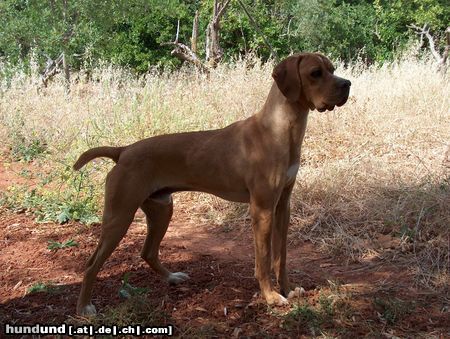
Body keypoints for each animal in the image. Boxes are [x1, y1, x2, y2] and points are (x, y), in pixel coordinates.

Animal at [74, 52, 352, 316]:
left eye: (333, 69)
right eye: (315, 73)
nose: (347, 84)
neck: (280, 130)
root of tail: (123, 151)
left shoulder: (283, 206)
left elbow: (280, 257)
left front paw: (287, 288)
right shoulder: (262, 210)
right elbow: (263, 260)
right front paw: (271, 297)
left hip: (162, 209)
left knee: (148, 252)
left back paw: (171, 277)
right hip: (119, 217)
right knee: (91, 265)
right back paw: (84, 307)